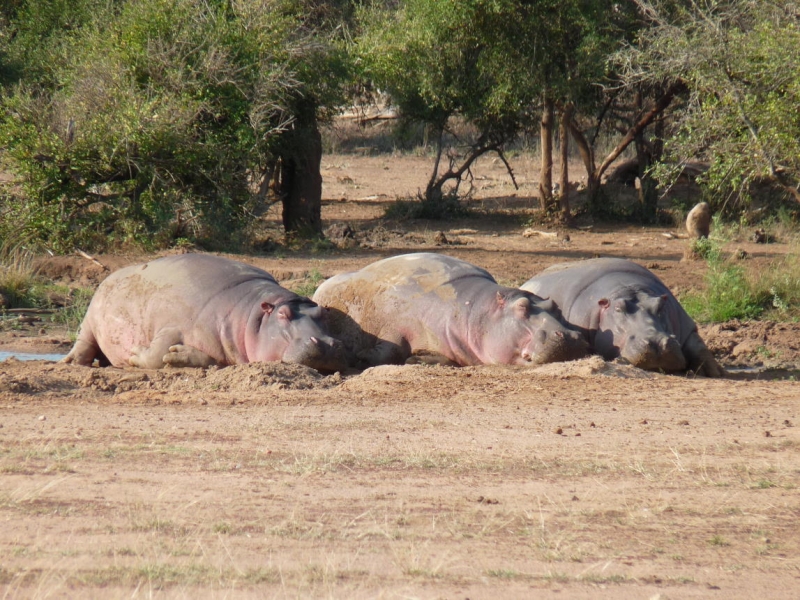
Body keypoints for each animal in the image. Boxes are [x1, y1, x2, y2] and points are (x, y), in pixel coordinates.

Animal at [61, 252, 348, 370]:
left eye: (322, 313)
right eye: (283, 315)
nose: (325, 343)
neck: (249, 314)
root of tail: (110, 276)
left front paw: (176, 357)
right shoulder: (172, 326)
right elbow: (154, 355)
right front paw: (135, 354)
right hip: (90, 319)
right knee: (83, 342)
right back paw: (72, 362)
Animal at [312, 252, 588, 368]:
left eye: (555, 306)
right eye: (522, 307)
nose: (571, 335)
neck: (474, 310)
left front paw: (417, 359)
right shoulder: (395, 326)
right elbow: (389, 350)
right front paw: (362, 357)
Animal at [520, 256, 724, 378]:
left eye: (660, 305)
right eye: (618, 308)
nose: (657, 342)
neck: (630, 289)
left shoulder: (686, 325)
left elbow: (698, 346)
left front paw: (715, 371)